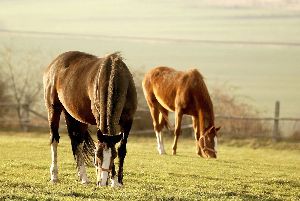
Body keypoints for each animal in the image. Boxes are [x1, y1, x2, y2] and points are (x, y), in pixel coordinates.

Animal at [43, 51, 137, 186]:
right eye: (97, 156)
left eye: (113, 156)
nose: (102, 182)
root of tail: (54, 63)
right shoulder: (99, 117)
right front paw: (113, 181)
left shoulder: (128, 121)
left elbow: (122, 149)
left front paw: (118, 181)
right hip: (53, 109)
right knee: (54, 139)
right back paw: (54, 176)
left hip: (76, 117)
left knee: (77, 142)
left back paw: (84, 178)